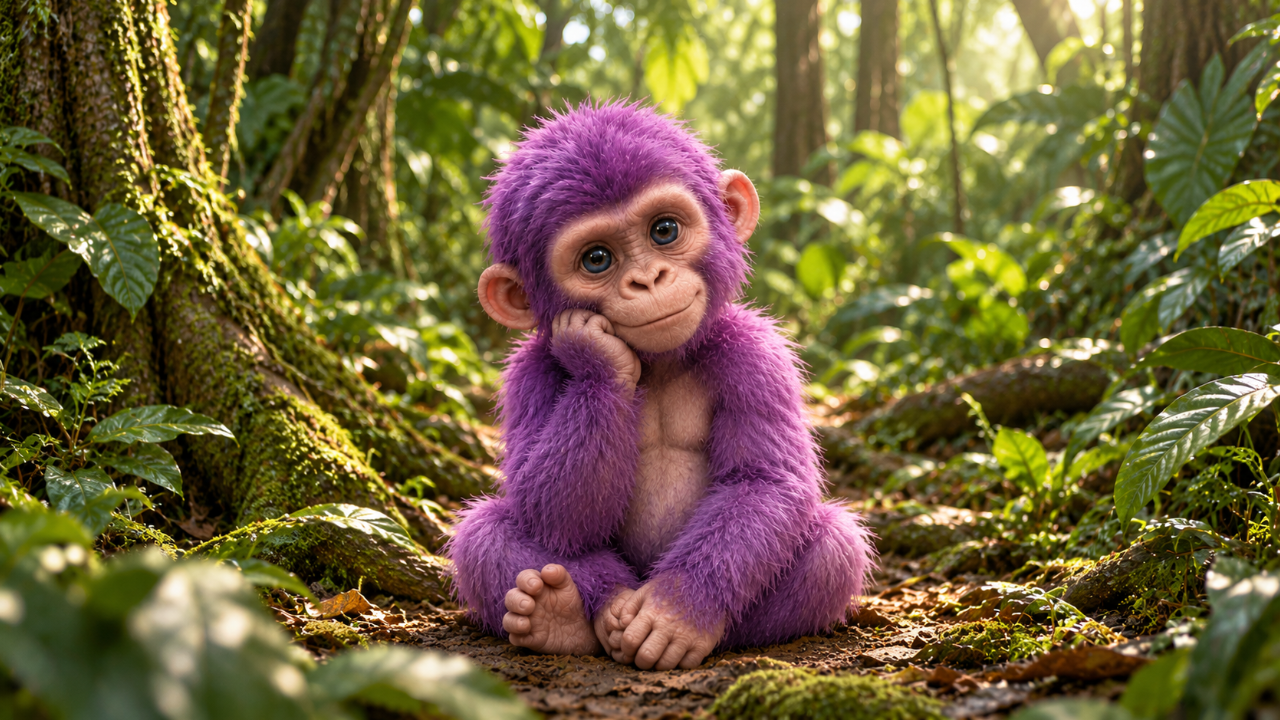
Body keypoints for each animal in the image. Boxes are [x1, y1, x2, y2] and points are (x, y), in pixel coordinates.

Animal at [445, 101, 876, 671]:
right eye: (597, 259)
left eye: (664, 230)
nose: (648, 280)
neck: (661, 364)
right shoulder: (528, 373)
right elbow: (547, 511)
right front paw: (597, 357)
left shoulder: (756, 353)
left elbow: (765, 481)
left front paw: (675, 611)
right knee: (484, 532)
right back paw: (562, 614)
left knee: (834, 547)